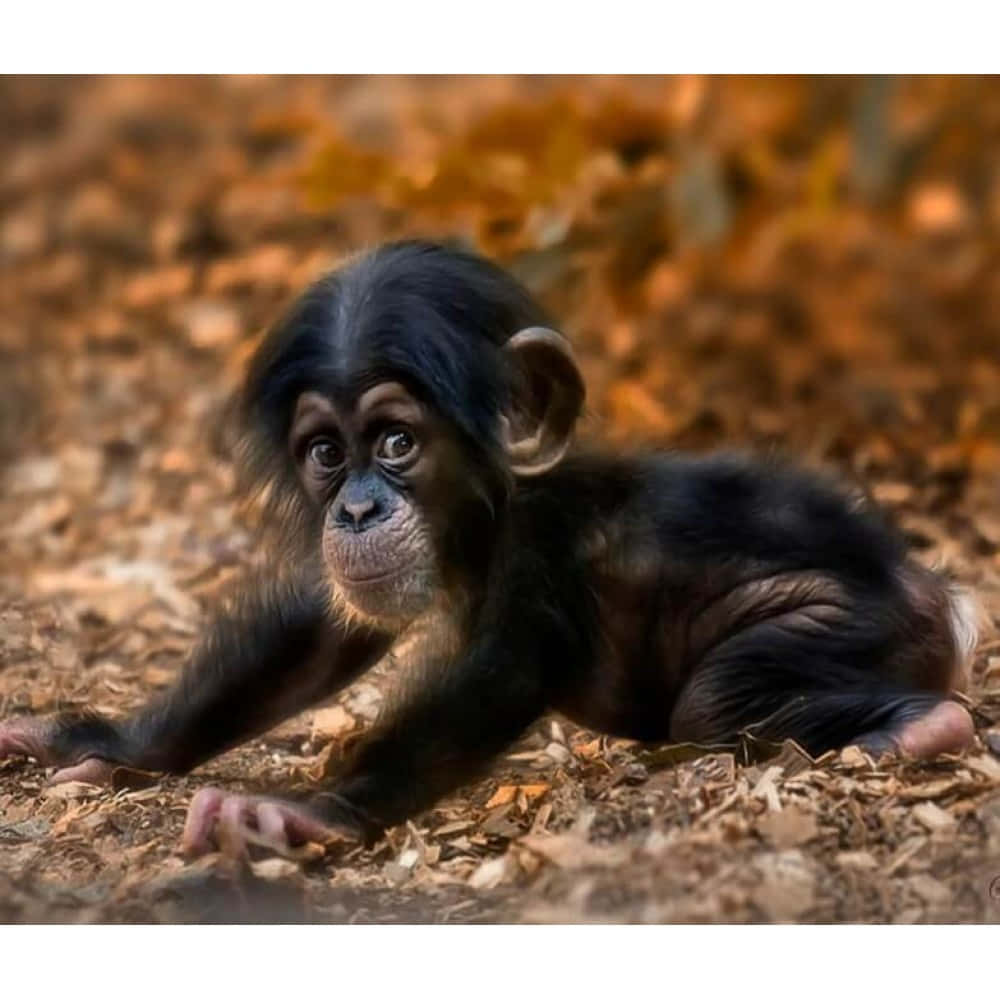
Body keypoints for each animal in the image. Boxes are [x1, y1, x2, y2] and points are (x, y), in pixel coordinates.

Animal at [0, 240, 979, 859]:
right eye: (326, 454)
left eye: (396, 440)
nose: (356, 508)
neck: (491, 511)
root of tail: (947, 598)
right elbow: (321, 633)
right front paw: (106, 741)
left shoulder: (537, 557)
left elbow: (497, 677)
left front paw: (301, 815)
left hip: (849, 621)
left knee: (719, 696)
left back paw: (919, 727)